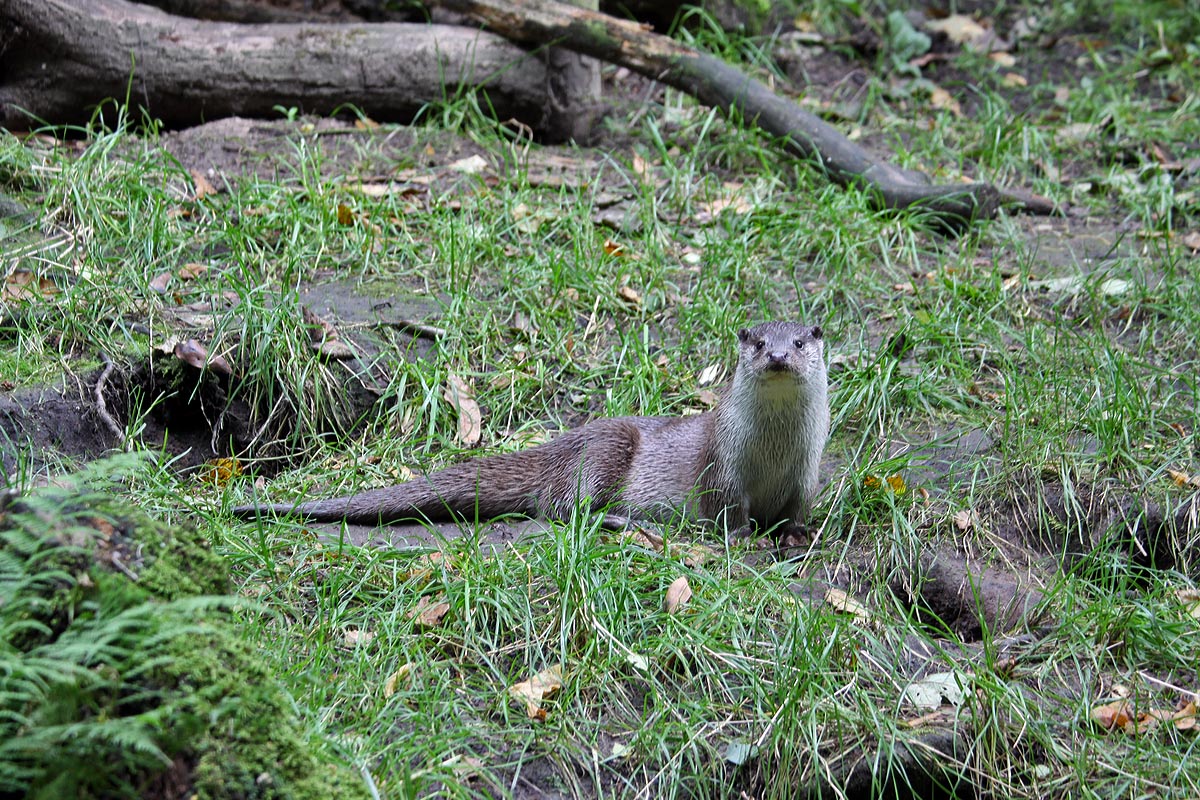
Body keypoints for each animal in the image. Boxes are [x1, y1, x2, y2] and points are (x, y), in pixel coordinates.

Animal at [232, 321, 830, 536]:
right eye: (758, 342)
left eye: (800, 340)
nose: (778, 355)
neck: (773, 453)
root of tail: (563, 443)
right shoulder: (722, 466)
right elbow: (728, 510)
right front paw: (744, 538)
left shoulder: (806, 471)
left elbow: (800, 508)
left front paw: (796, 535)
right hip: (606, 450)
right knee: (561, 507)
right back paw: (623, 522)